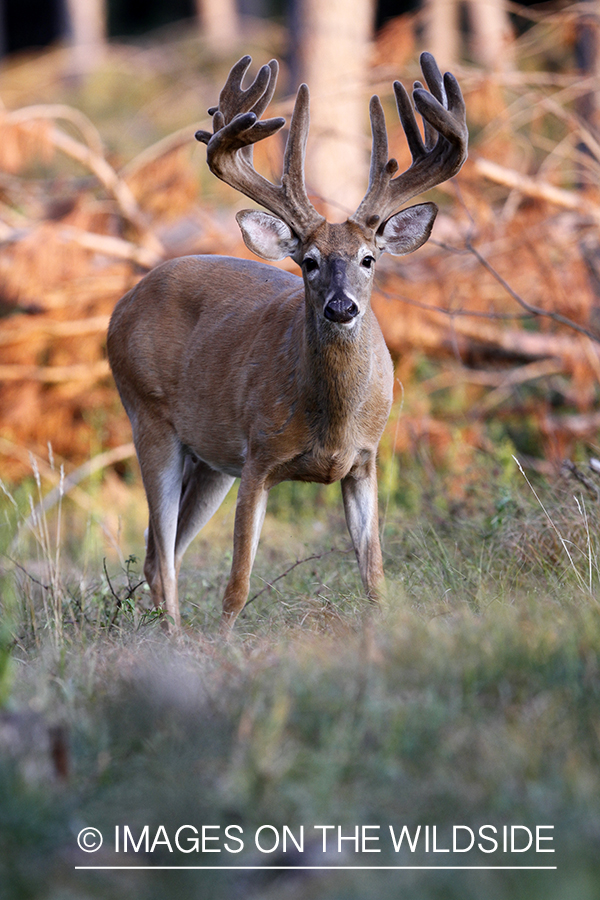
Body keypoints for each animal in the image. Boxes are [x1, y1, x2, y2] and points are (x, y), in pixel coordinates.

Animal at [108, 52, 468, 628]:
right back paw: (178, 639)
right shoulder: (257, 457)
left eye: (369, 259)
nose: (341, 307)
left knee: (160, 554)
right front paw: (226, 641)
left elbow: (375, 577)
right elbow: (236, 585)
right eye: (309, 261)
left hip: (209, 460)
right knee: (161, 554)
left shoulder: (365, 461)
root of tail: (122, 304)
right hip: (150, 418)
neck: (330, 422)